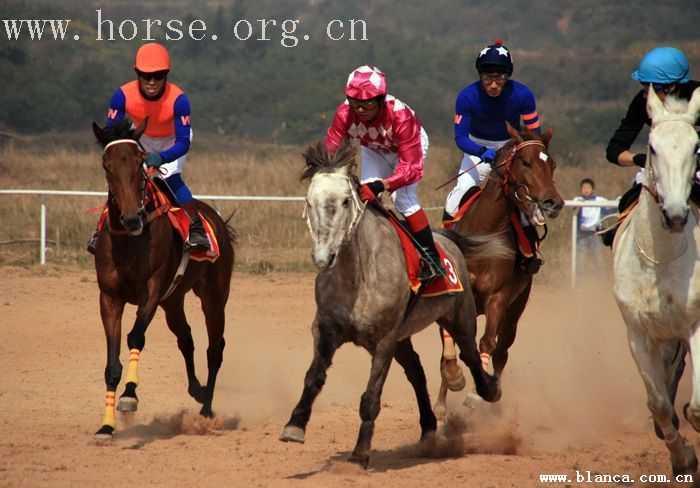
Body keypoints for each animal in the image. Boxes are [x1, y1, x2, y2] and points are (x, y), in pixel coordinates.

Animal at [88, 119, 232, 442]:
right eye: (107, 165)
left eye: (140, 161)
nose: (131, 218)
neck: (129, 241)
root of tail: (215, 218)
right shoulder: (109, 298)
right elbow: (111, 364)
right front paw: (106, 426)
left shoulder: (151, 292)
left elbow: (135, 337)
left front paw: (129, 397)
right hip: (173, 302)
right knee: (186, 339)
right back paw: (197, 390)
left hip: (214, 298)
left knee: (214, 349)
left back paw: (206, 409)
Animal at [280, 140, 516, 466]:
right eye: (309, 201)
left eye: (345, 201)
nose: (323, 258)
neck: (357, 276)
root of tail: (449, 241)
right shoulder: (327, 329)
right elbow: (313, 377)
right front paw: (295, 425)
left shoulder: (384, 340)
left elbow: (370, 397)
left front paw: (360, 454)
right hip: (405, 335)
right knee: (416, 371)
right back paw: (428, 428)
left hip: (459, 318)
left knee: (470, 354)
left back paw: (488, 390)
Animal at [438, 124, 564, 418]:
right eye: (526, 162)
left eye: (552, 164)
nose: (553, 202)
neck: (481, 240)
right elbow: (451, 341)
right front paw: (451, 379)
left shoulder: (498, 297)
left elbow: (487, 343)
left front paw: (478, 391)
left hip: (516, 309)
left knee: (502, 351)